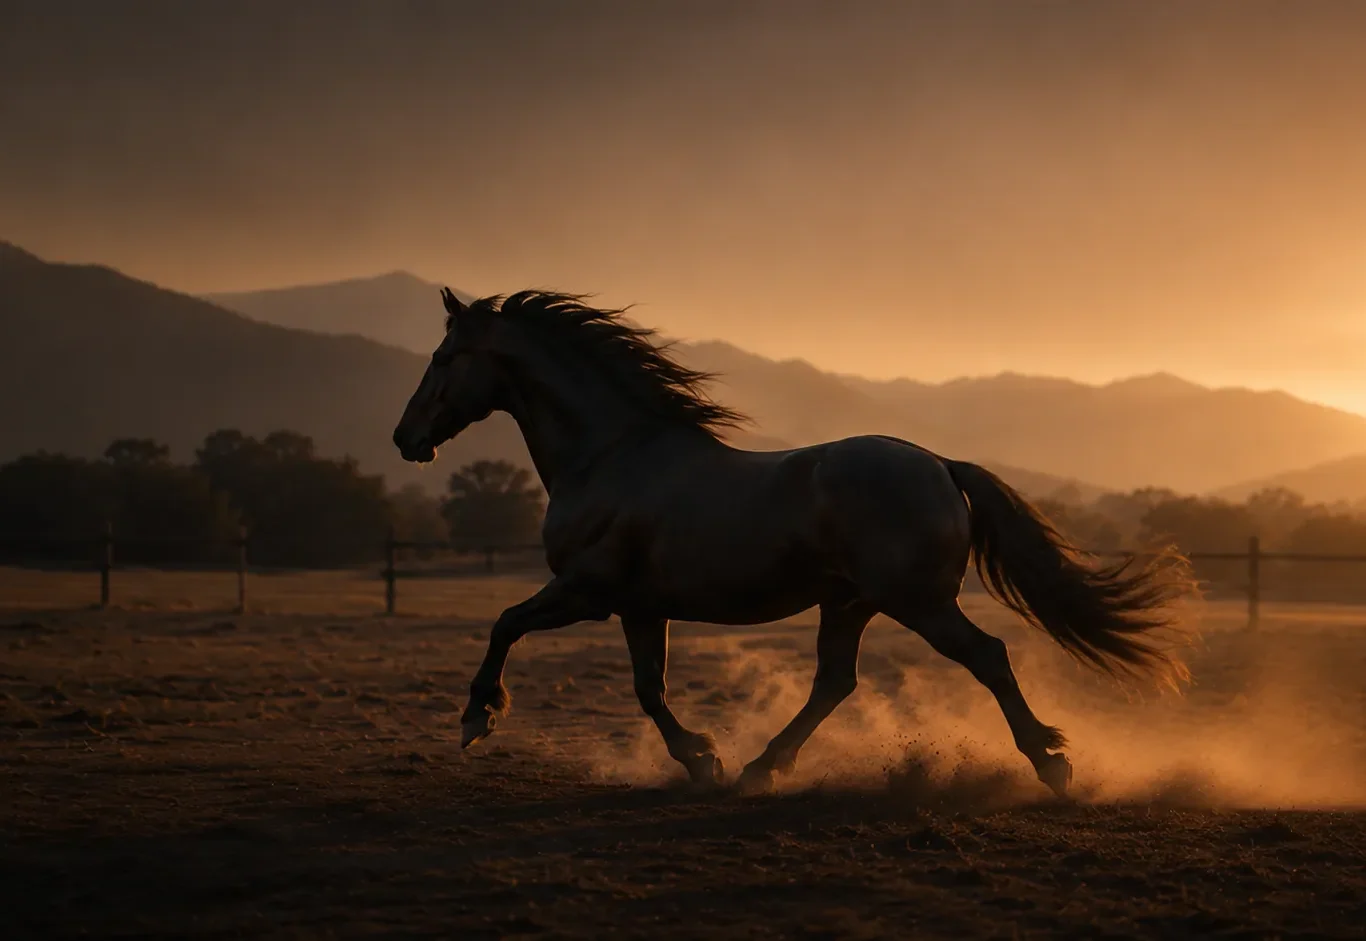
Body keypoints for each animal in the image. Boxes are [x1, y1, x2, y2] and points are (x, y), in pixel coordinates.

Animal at [392, 289, 1195, 796]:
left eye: (441, 359)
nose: (405, 438)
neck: (611, 453)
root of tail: (940, 464)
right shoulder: (639, 607)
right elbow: (649, 689)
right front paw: (703, 762)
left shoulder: (586, 592)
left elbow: (505, 624)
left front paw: (476, 718)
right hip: (850, 604)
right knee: (835, 682)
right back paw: (760, 766)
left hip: (917, 602)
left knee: (987, 657)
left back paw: (1051, 764)